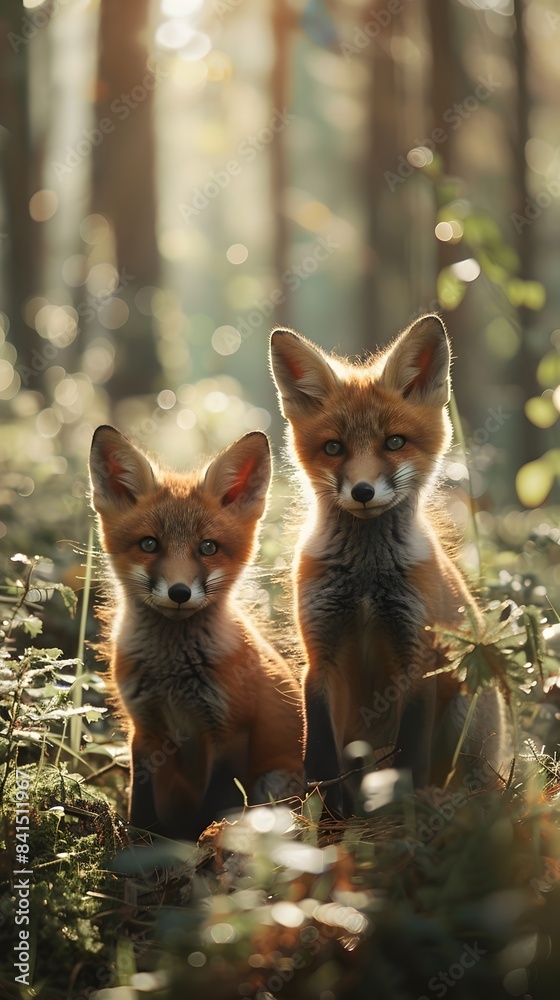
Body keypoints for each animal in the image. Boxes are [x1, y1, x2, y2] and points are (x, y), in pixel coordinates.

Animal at [89, 425, 303, 840]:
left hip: (274, 781)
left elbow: (217, 806)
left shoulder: (230, 730)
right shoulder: (145, 729)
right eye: (149, 544)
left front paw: (203, 843)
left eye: (207, 547)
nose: (179, 592)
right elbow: (141, 805)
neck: (173, 675)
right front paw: (138, 844)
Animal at [269, 314, 506, 812]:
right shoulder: (320, 659)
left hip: (466, 706)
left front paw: (404, 813)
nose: (362, 492)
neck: (364, 579)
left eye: (394, 442)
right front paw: (330, 822)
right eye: (334, 448)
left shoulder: (415, 656)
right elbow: (321, 762)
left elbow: (408, 759)